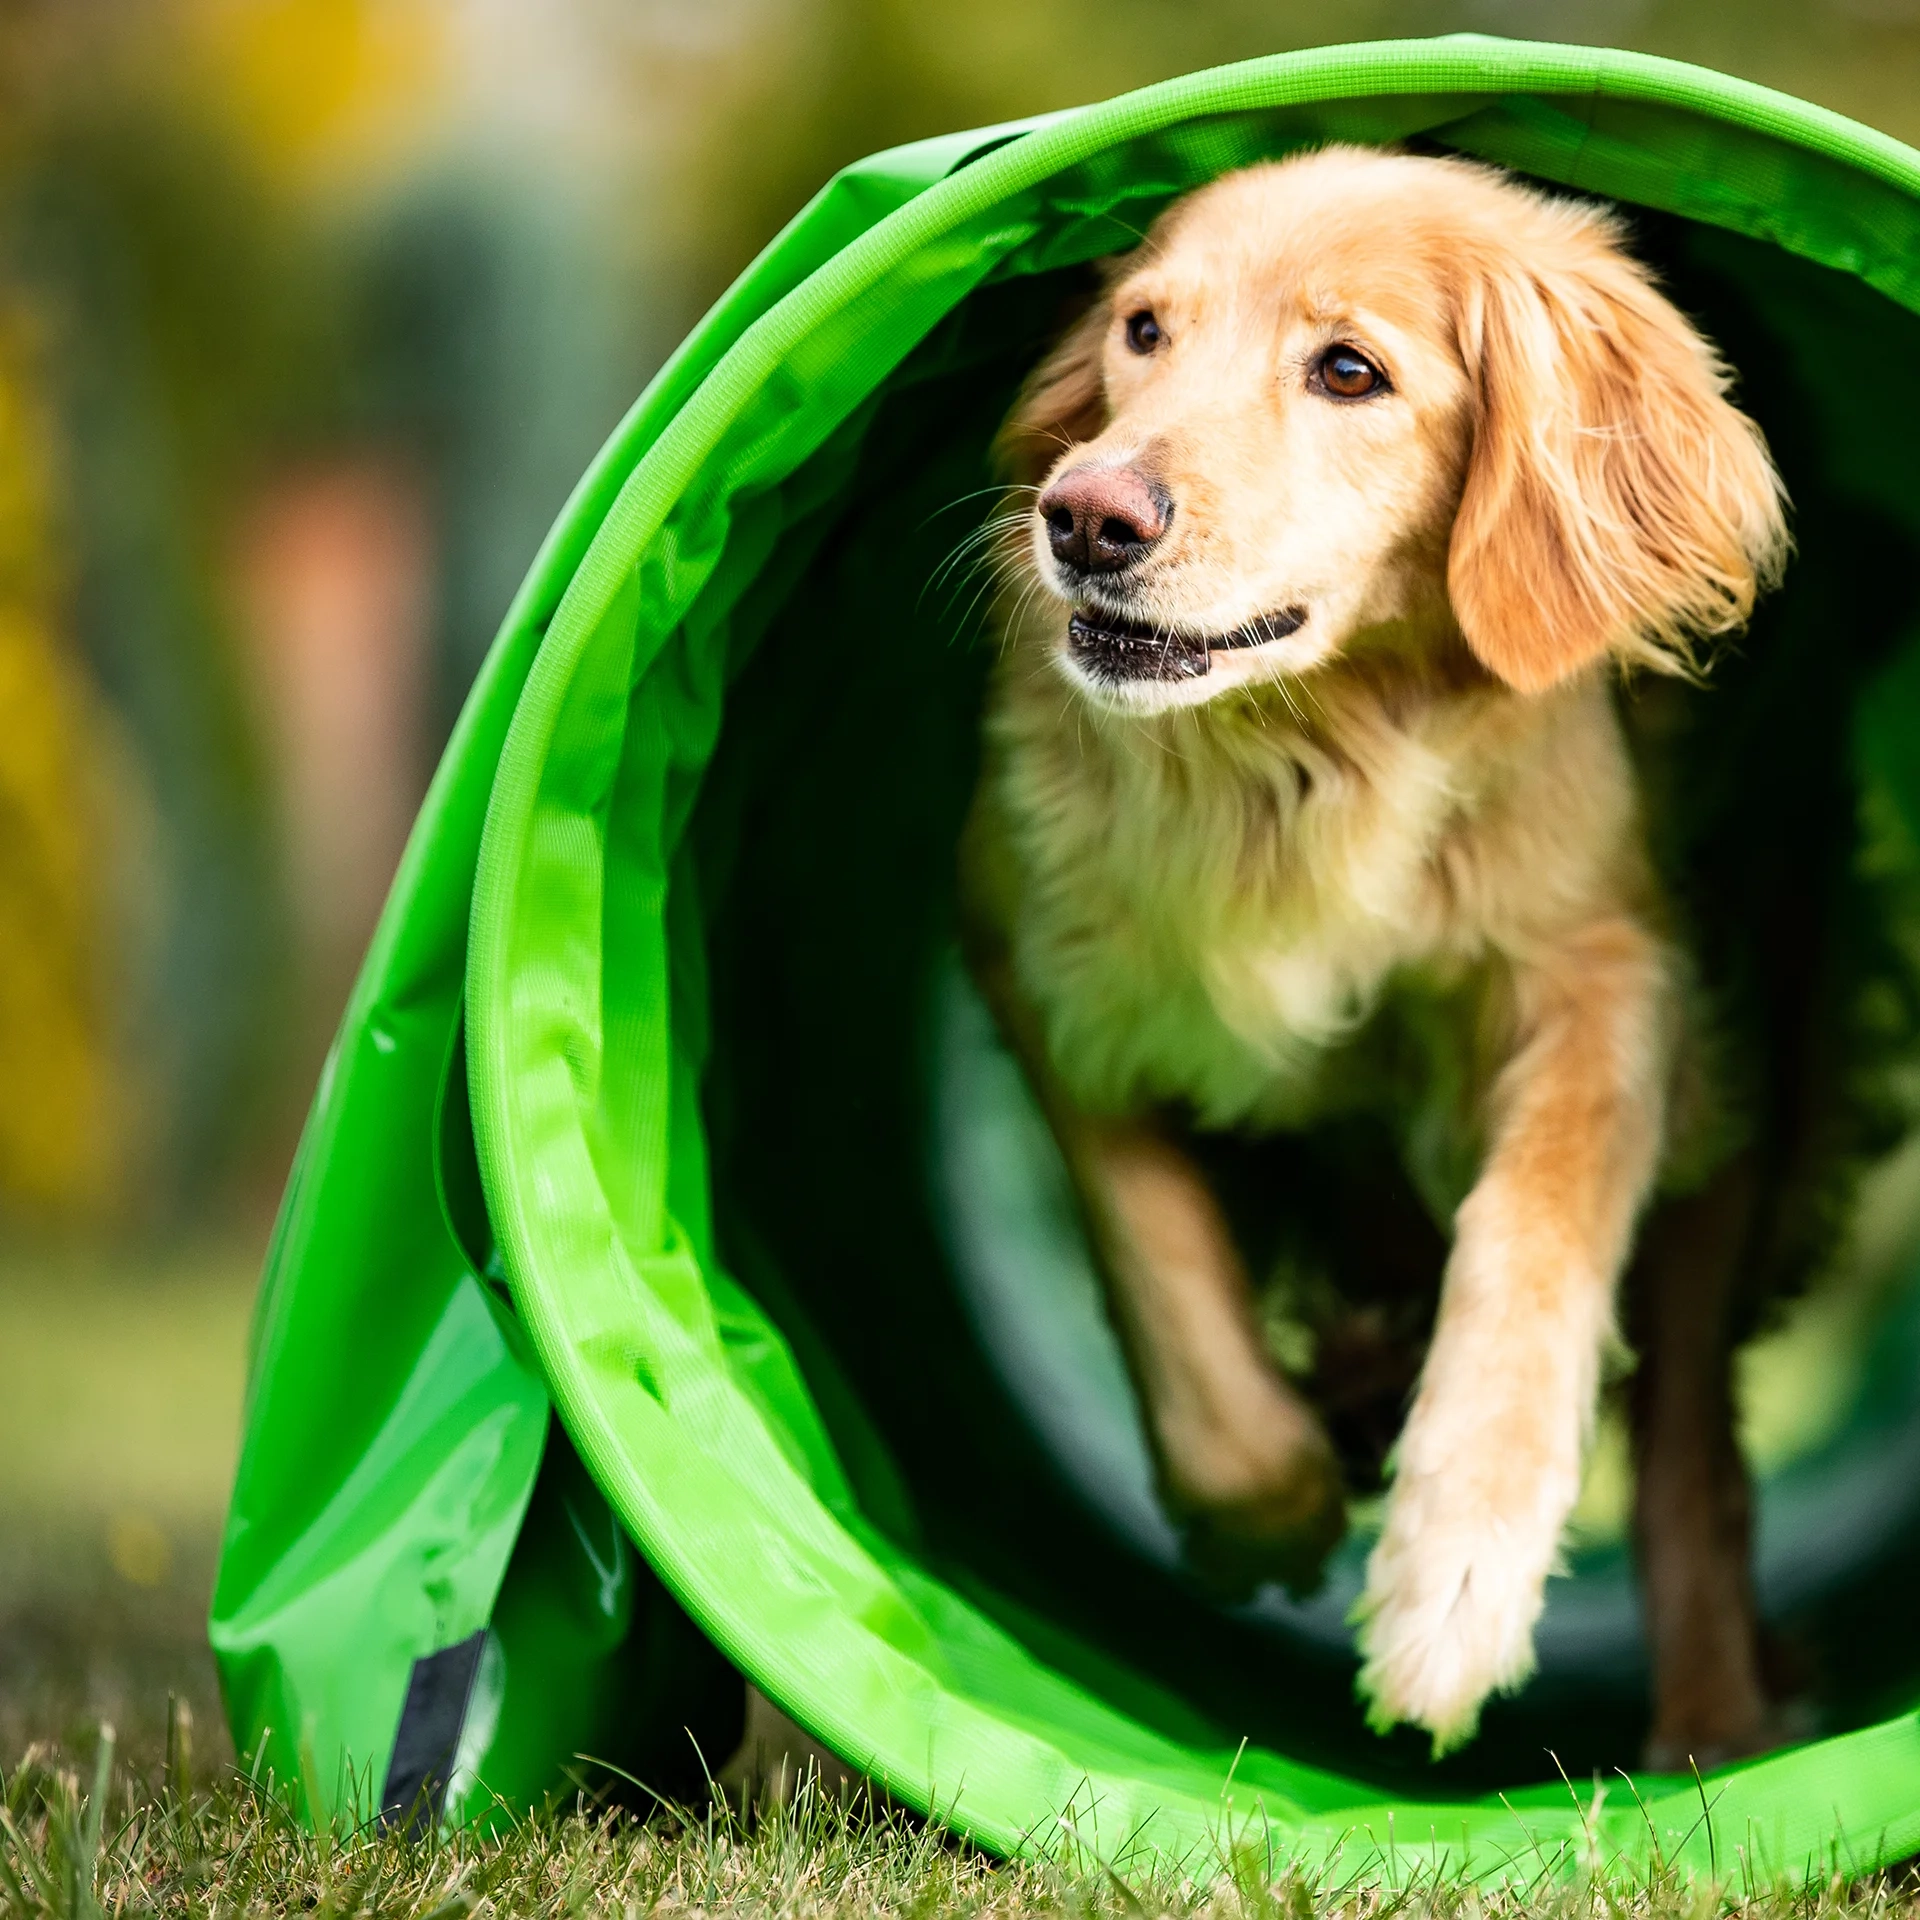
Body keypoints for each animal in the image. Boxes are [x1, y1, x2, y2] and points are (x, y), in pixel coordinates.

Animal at [967, 145, 1789, 1766]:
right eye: (1144, 331)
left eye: (1350, 370)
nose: (1084, 516)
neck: (1308, 755)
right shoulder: (1036, 949)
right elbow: (1159, 1254)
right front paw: (1272, 1509)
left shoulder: (1610, 970)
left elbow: (1534, 1240)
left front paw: (1451, 1591)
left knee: (1692, 1460)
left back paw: (1716, 1732)